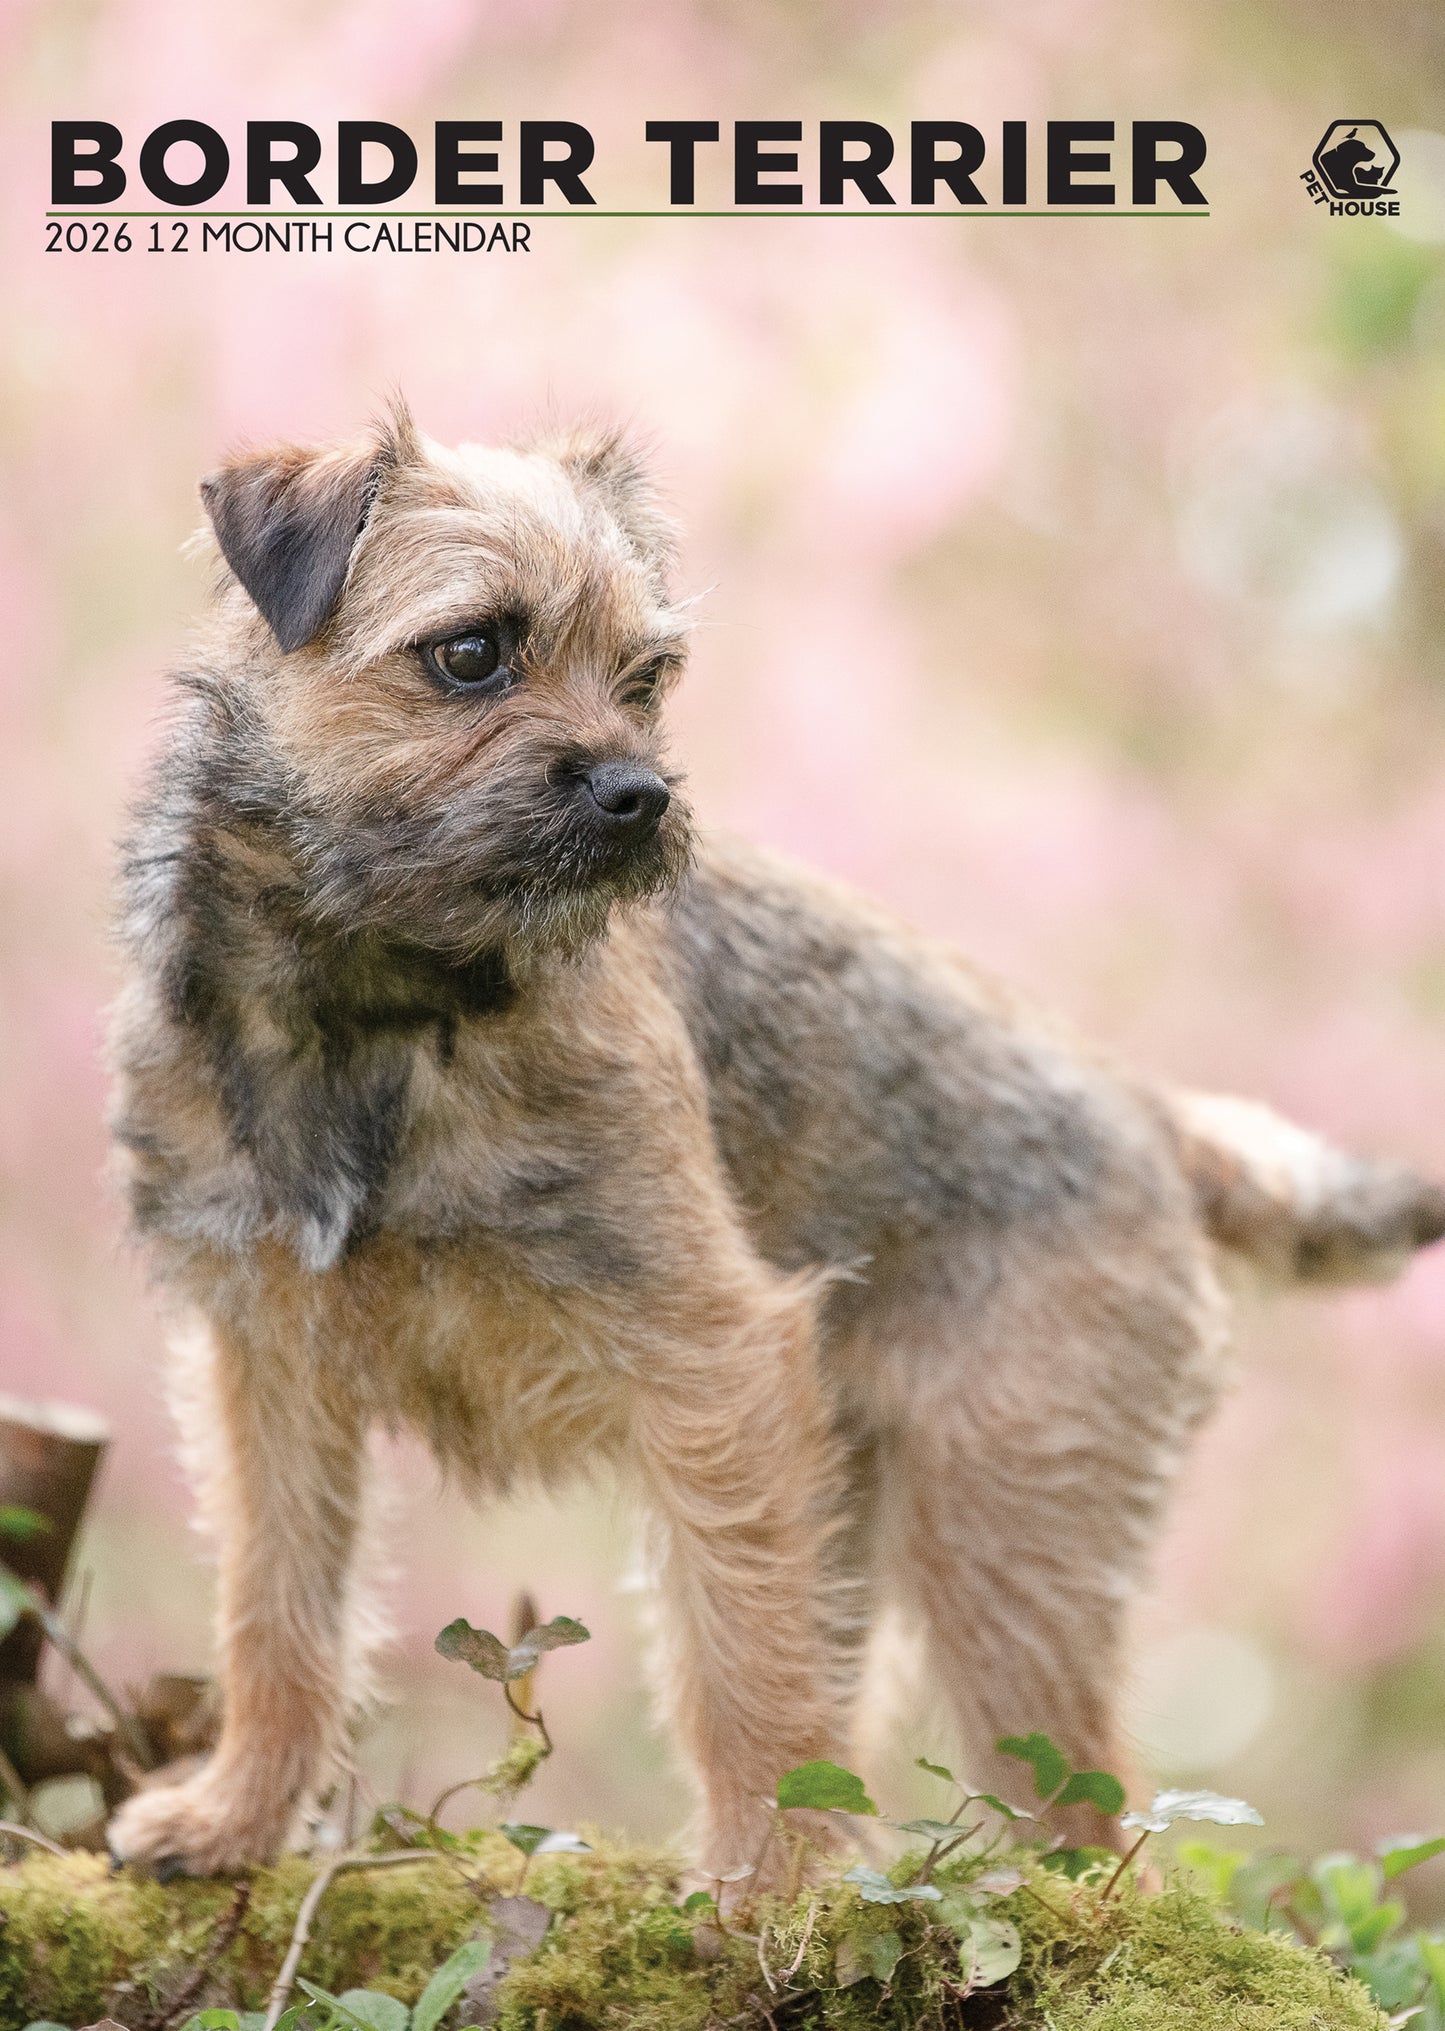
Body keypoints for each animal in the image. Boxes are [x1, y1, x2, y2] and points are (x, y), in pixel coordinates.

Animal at [110, 404, 1445, 1876]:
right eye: (471, 652)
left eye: (646, 676)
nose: (638, 792)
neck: (385, 1002)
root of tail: (1146, 1108)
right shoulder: (268, 1370)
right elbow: (275, 1605)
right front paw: (235, 1815)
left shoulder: (715, 1366)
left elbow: (740, 1659)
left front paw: (768, 1888)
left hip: (1004, 1545)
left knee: (1091, 1825)